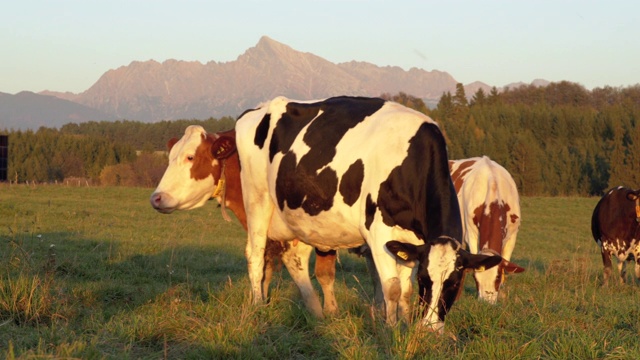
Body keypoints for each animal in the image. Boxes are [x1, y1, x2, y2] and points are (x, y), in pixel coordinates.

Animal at [151, 126, 338, 318]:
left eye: (190, 157)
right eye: (170, 157)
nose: (156, 198)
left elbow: (321, 273)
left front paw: (328, 313)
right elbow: (268, 270)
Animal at [235, 96, 504, 332]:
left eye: (455, 283)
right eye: (424, 280)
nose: (429, 329)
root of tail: (258, 109)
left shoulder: (412, 241)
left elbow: (404, 290)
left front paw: (405, 325)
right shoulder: (378, 233)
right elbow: (392, 287)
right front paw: (391, 329)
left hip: (304, 218)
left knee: (295, 258)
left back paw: (317, 315)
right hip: (257, 200)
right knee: (256, 255)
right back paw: (258, 306)